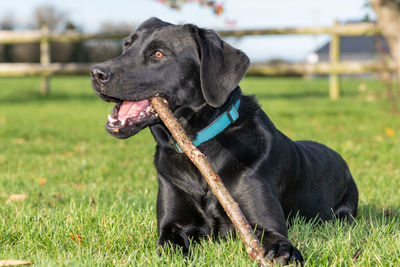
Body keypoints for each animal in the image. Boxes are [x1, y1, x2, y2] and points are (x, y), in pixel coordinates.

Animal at [91, 17, 360, 266]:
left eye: (158, 54)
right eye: (126, 46)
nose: (96, 73)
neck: (198, 147)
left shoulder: (264, 224)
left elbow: (277, 242)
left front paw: (283, 255)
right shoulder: (171, 226)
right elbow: (171, 248)